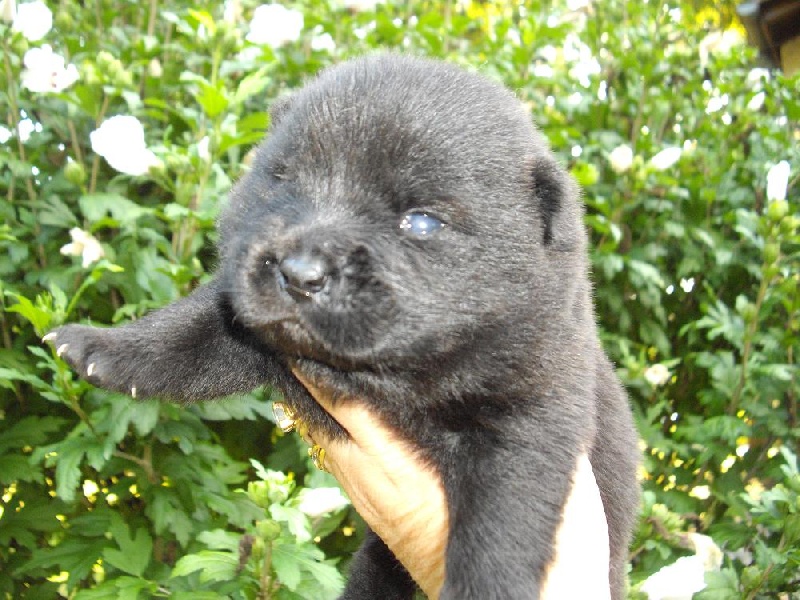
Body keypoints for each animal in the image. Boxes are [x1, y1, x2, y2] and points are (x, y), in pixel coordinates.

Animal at [49, 54, 640, 599]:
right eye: (283, 181)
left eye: (420, 222)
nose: (299, 273)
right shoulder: (248, 329)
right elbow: (186, 335)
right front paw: (98, 347)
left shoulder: (527, 417)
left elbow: (500, 529)